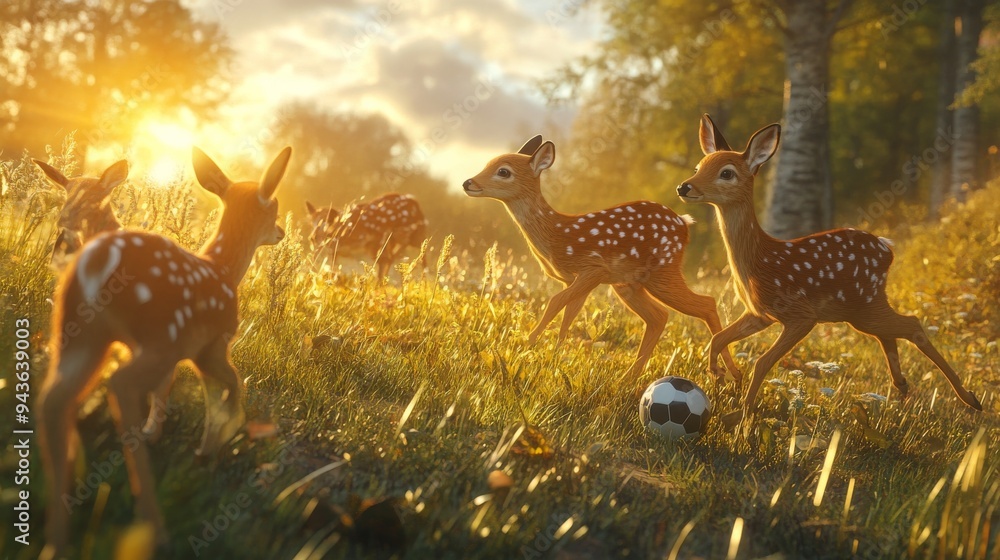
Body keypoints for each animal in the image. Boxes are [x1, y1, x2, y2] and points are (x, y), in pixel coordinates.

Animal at [38, 146, 291, 555]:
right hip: (158, 337)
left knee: (53, 400)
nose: (281, 231)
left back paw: (57, 541)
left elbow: (185, 390)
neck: (223, 270)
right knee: (120, 386)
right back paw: (155, 529)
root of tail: (93, 262)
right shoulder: (211, 347)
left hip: (78, 332)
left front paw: (166, 434)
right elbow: (233, 386)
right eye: (275, 207)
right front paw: (212, 445)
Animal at [463, 135, 739, 383]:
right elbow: (569, 313)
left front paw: (526, 344)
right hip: (628, 283)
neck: (556, 233)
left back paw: (728, 373)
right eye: (487, 163)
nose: (467, 182)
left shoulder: (594, 268)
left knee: (705, 303)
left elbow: (555, 301)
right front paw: (554, 356)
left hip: (662, 272)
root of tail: (684, 223)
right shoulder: (573, 279)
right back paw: (628, 379)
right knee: (659, 316)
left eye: (503, 171)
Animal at [677, 114, 982, 424]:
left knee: (913, 324)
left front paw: (741, 416)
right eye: (699, 166)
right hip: (865, 308)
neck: (760, 261)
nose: (684, 187)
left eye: (726, 173)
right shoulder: (759, 313)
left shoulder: (800, 314)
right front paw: (720, 375)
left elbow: (762, 362)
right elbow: (718, 338)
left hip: (864, 305)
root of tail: (888, 249)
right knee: (892, 333)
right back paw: (902, 386)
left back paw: (969, 399)